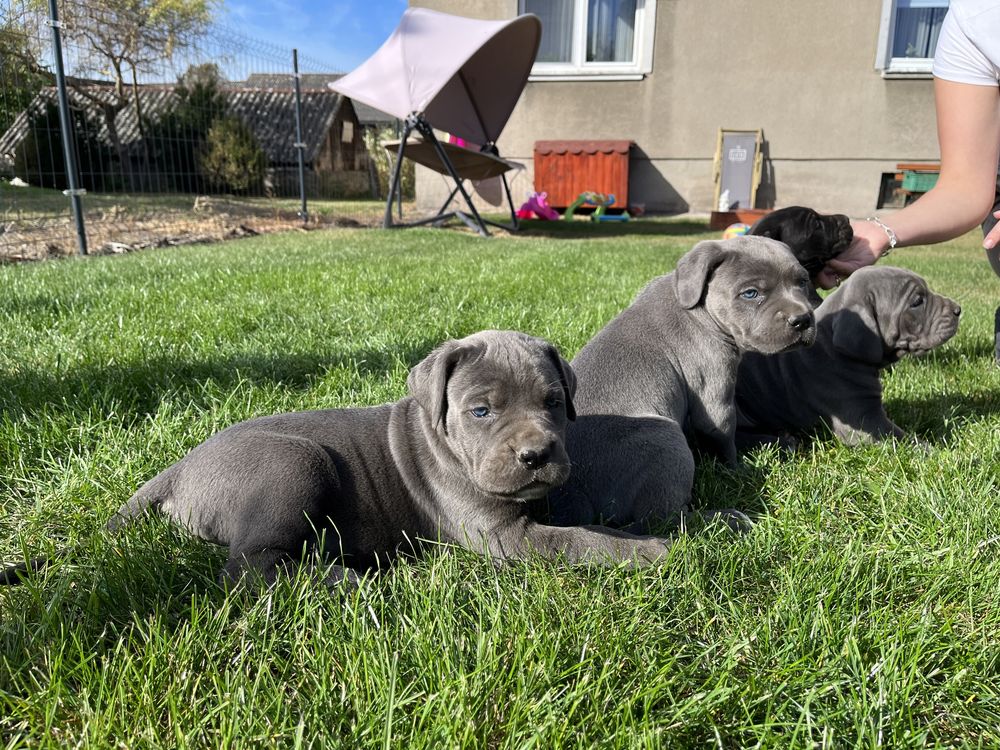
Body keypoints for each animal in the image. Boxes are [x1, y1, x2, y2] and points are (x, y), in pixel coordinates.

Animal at [1, 332, 672, 592]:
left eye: (555, 402)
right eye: (481, 411)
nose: (536, 454)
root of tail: (179, 468)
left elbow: (581, 524)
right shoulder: (504, 537)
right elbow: (577, 541)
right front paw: (651, 553)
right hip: (294, 465)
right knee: (249, 569)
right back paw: (351, 580)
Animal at [552, 238, 816, 532]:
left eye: (803, 282)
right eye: (750, 293)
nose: (803, 320)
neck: (700, 310)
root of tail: (569, 495)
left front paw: (771, 442)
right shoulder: (713, 395)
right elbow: (725, 435)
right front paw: (739, 468)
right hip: (664, 439)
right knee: (664, 519)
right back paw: (727, 519)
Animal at [736, 268, 960, 450]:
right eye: (917, 302)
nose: (958, 310)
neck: (834, 349)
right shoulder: (863, 422)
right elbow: (902, 438)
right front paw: (934, 451)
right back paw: (782, 442)